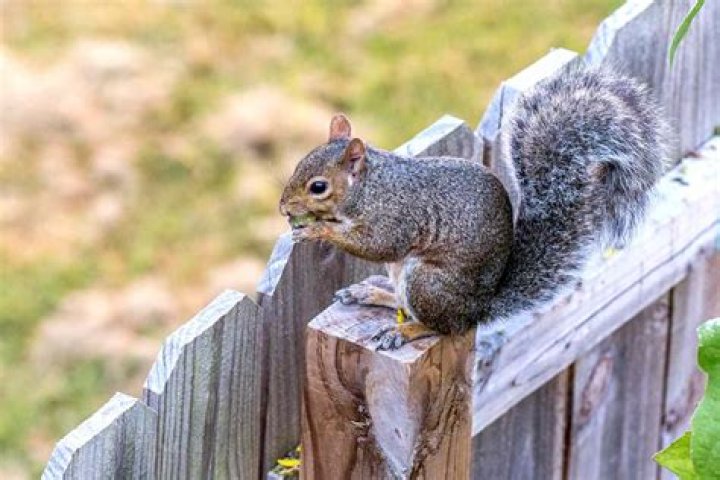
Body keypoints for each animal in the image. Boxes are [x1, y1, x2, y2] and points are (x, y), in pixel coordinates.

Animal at [279, 66, 669, 350]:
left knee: (443, 327)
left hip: (428, 283)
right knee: (405, 304)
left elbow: (378, 245)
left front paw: (316, 228)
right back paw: (372, 293)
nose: (283, 208)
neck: (370, 187)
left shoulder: (396, 217)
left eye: (318, 187)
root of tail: (477, 310)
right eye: (298, 164)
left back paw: (407, 331)